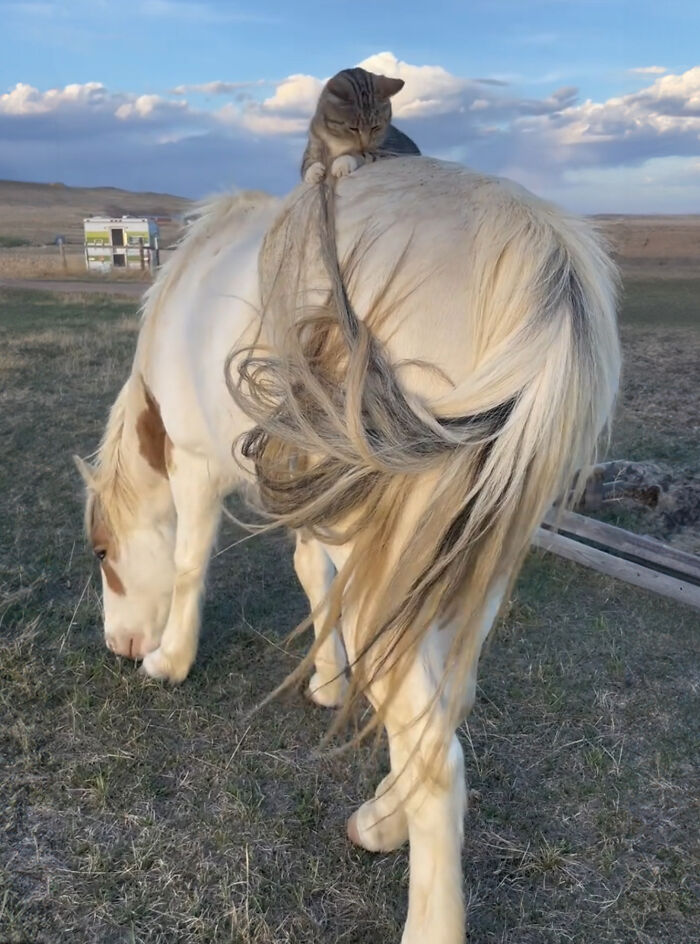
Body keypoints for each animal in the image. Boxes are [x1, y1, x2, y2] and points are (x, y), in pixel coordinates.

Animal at [76, 157, 620, 943]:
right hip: (472, 569)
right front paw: (328, 681)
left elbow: (187, 565)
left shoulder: (197, 466)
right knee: (447, 704)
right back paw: (381, 818)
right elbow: (312, 573)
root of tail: (537, 257)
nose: (119, 645)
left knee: (436, 758)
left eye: (100, 552)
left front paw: (169, 662)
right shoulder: (312, 499)